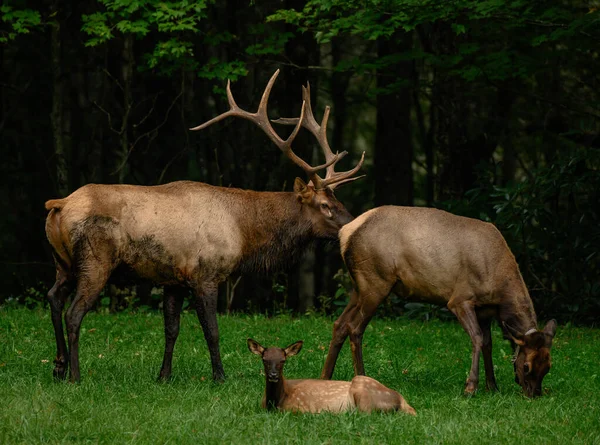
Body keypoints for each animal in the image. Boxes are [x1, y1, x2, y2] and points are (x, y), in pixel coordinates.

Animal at [44, 69, 364, 382]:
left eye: (337, 200)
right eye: (325, 206)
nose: (353, 224)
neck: (244, 234)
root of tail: (58, 205)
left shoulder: (173, 280)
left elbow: (171, 330)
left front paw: (164, 376)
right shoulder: (206, 274)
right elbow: (212, 331)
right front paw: (219, 377)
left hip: (63, 262)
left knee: (53, 298)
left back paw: (58, 367)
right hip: (95, 260)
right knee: (74, 312)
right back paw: (75, 375)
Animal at [246, 338, 414, 414]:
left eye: (283, 360)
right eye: (264, 359)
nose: (273, 375)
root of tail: (402, 400)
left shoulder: (300, 408)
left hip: (363, 390)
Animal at [322, 206, 560, 398]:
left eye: (548, 366)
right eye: (526, 366)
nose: (534, 394)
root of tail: (345, 233)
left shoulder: (485, 310)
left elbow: (488, 344)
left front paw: (492, 387)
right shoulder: (460, 299)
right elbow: (477, 338)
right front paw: (470, 387)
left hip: (359, 287)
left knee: (340, 324)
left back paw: (325, 376)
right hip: (376, 281)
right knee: (355, 327)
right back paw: (362, 378)